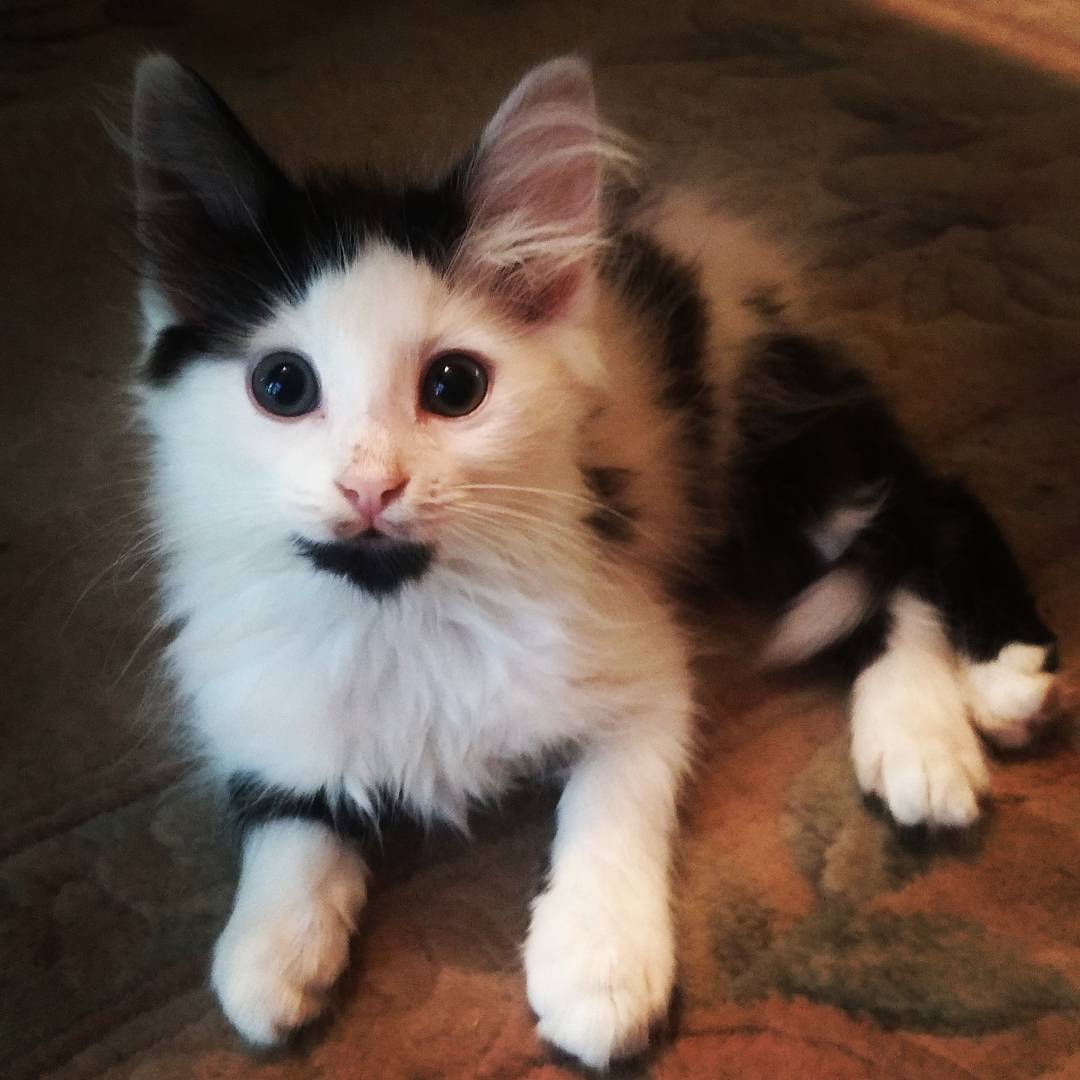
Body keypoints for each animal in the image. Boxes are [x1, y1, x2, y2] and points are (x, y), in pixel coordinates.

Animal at [130, 56, 1058, 1062]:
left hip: (775, 443)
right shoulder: (250, 682)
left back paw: (958, 707)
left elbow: (614, 798)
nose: (370, 486)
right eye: (282, 385)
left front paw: (600, 960)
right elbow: (285, 804)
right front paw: (272, 945)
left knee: (930, 512)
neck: (399, 604)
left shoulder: (631, 642)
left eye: (453, 386)